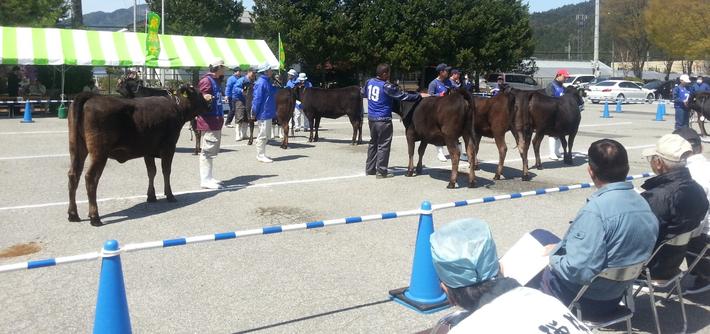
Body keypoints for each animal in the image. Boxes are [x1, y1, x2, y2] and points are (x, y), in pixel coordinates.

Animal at [67, 86, 209, 227]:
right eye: (199, 94)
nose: (209, 103)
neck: (176, 106)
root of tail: (92, 96)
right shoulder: (169, 147)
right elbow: (166, 171)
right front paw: (170, 195)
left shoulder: (148, 151)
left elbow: (151, 172)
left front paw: (151, 196)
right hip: (99, 152)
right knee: (90, 178)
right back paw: (94, 217)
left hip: (76, 148)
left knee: (73, 175)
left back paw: (73, 214)